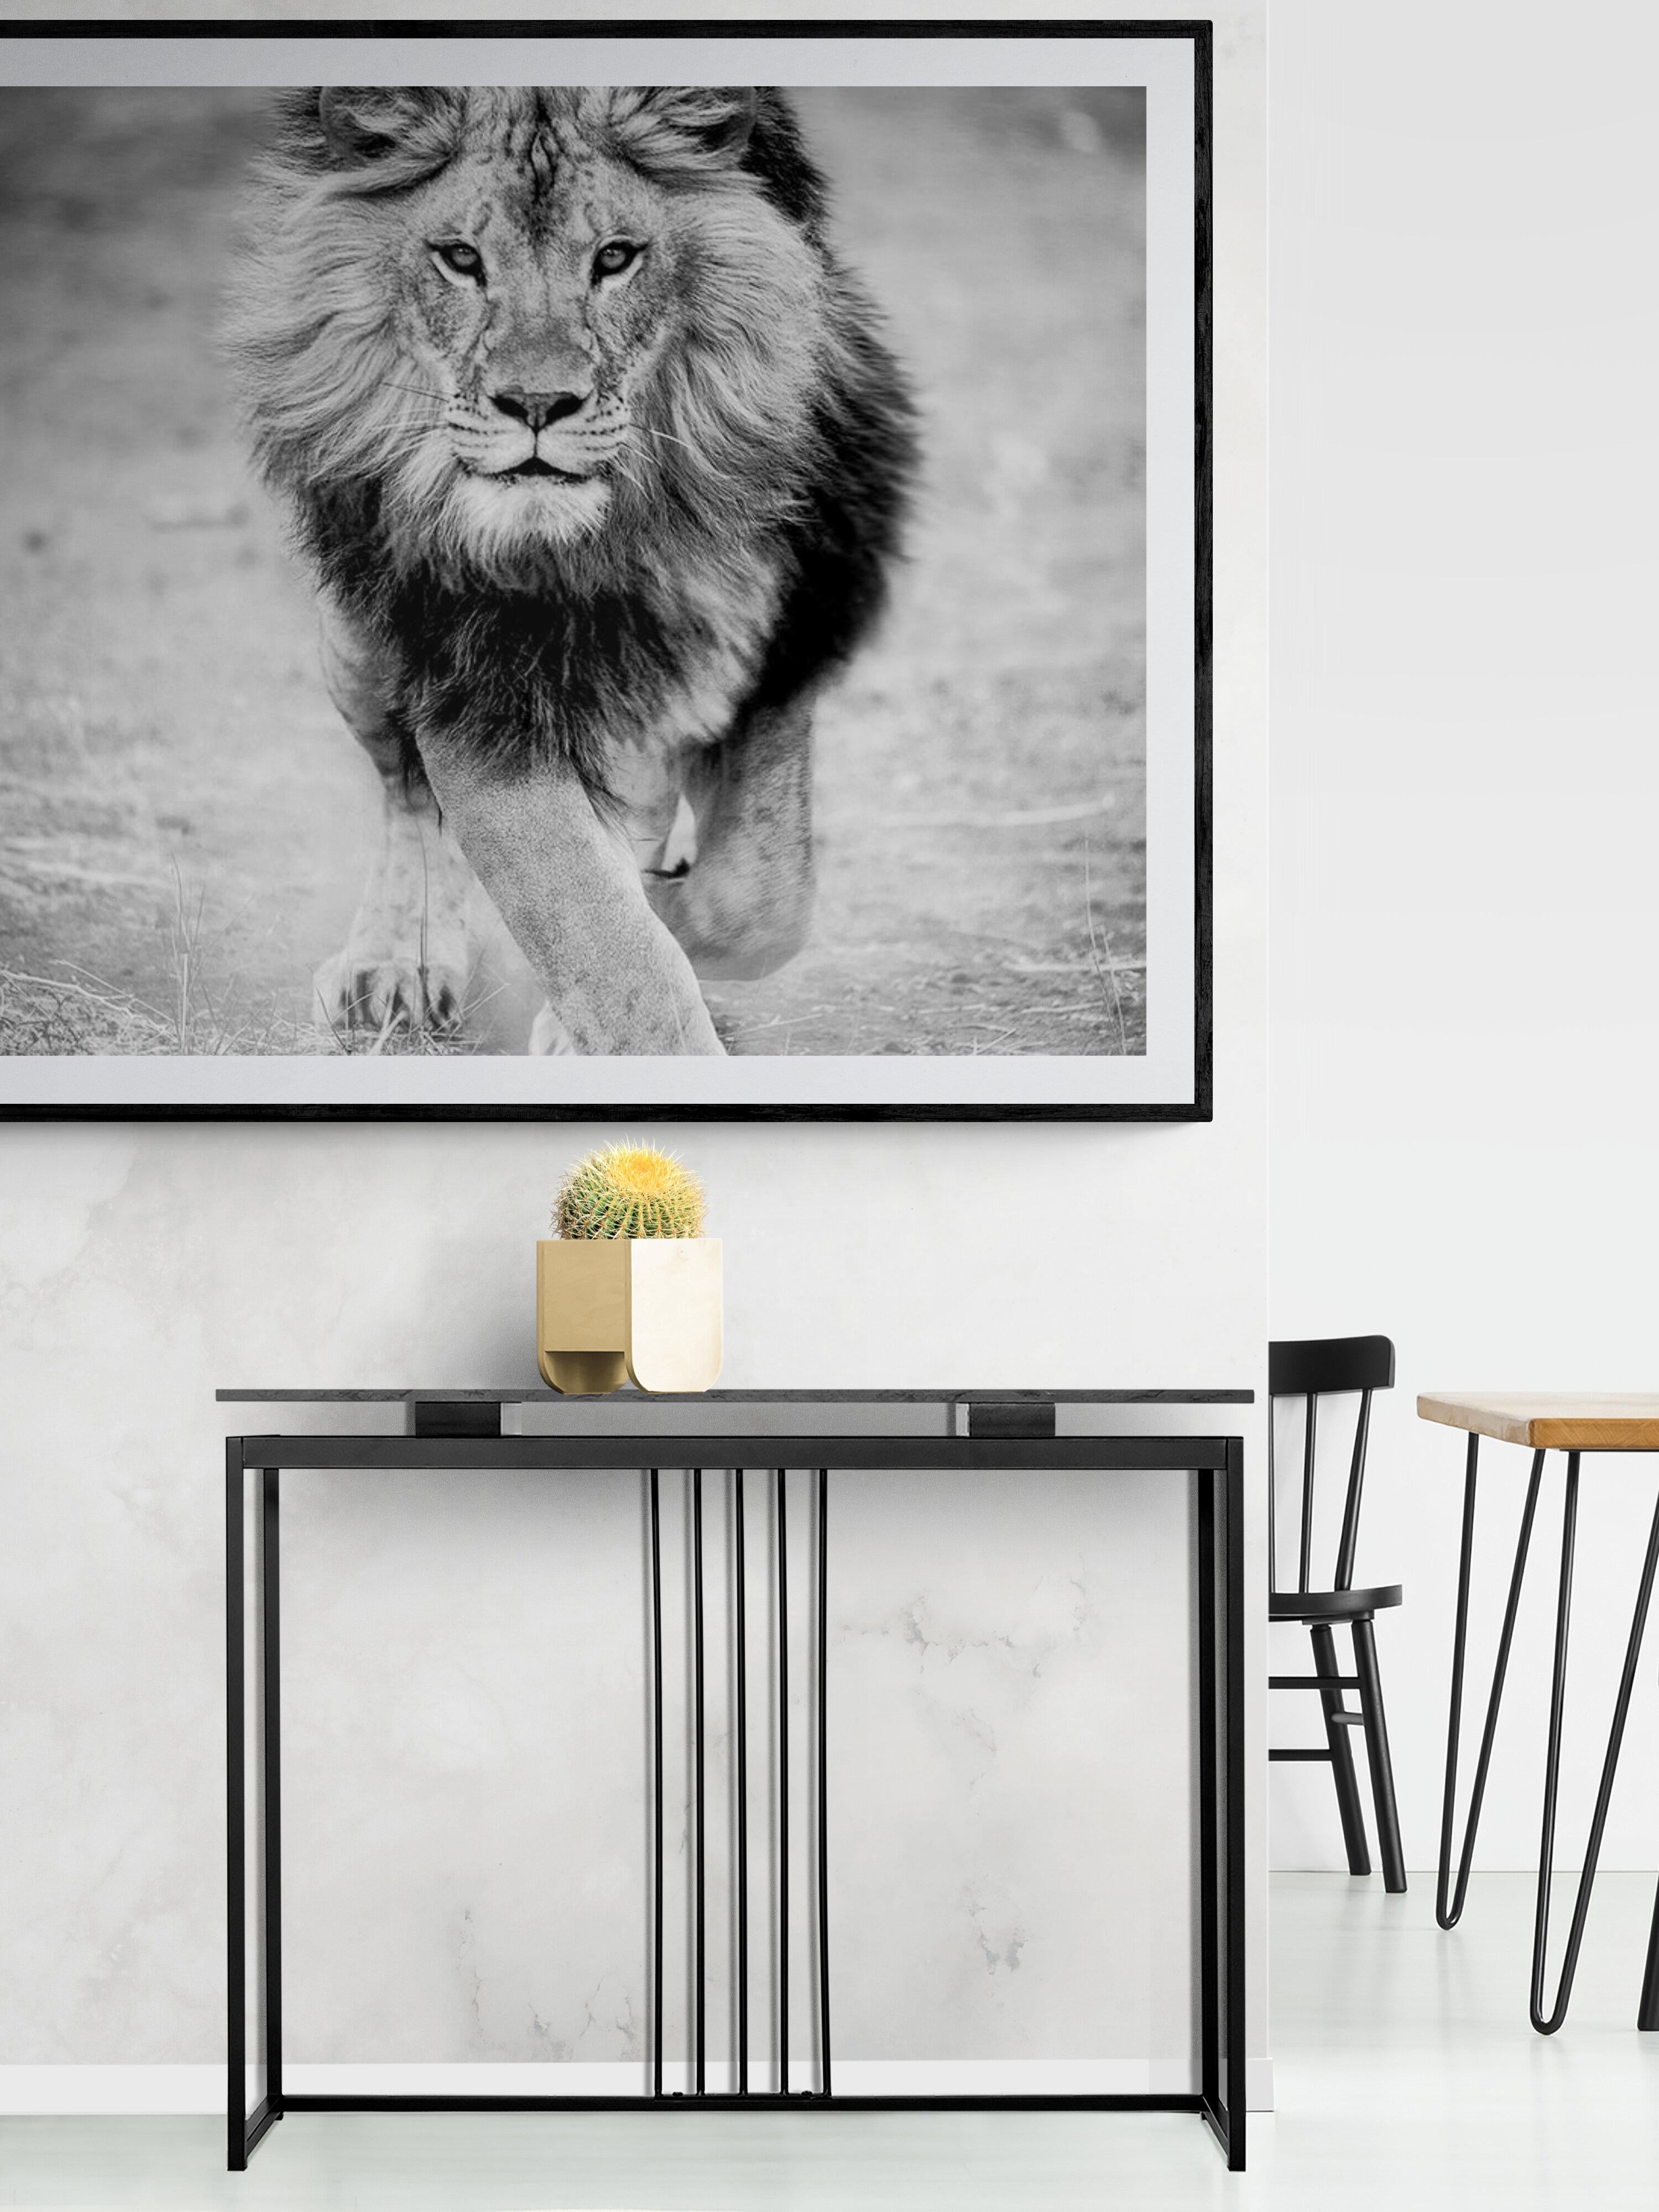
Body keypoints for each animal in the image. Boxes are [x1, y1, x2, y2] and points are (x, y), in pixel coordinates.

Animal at [227, 85, 915, 1055]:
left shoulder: (786, 647)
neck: (601, 546)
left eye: (616, 259)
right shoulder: (474, 693)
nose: (537, 404)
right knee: (407, 791)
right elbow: (597, 932)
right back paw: (398, 967)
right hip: (359, 643)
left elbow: (759, 899)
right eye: (461, 259)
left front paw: (670, 919)